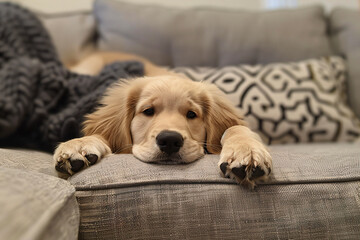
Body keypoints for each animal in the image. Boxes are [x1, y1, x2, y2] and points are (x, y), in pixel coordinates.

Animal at [54, 73, 272, 188]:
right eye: (148, 111)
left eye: (191, 114)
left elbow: (236, 128)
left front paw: (246, 152)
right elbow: (100, 135)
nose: (169, 140)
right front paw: (78, 145)